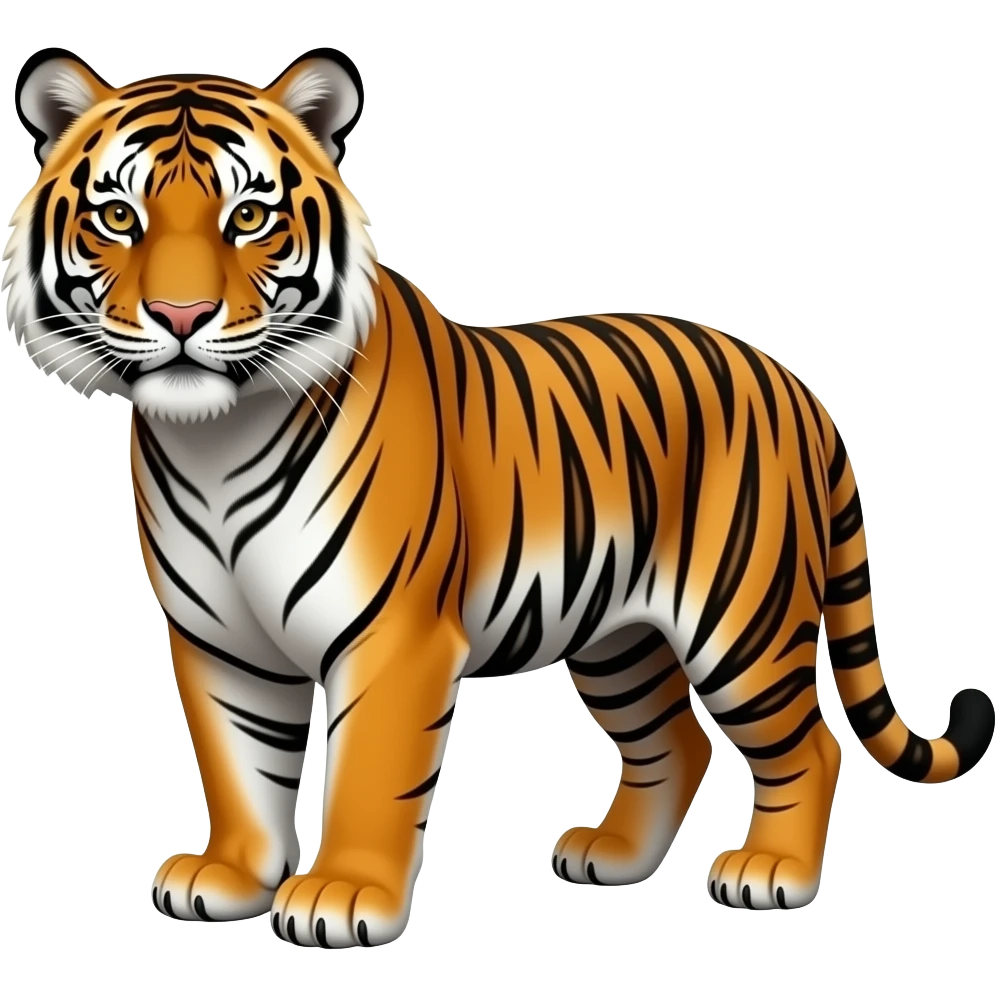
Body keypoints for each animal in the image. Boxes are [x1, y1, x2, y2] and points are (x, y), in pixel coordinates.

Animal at [5, 43, 994, 947]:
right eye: (118, 217)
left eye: (249, 216)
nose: (180, 318)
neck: (213, 438)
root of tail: (794, 383)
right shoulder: (219, 638)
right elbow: (237, 762)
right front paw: (233, 877)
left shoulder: (393, 634)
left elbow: (370, 772)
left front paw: (342, 896)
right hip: (619, 636)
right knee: (675, 740)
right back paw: (613, 858)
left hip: (740, 620)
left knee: (808, 744)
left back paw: (772, 872)